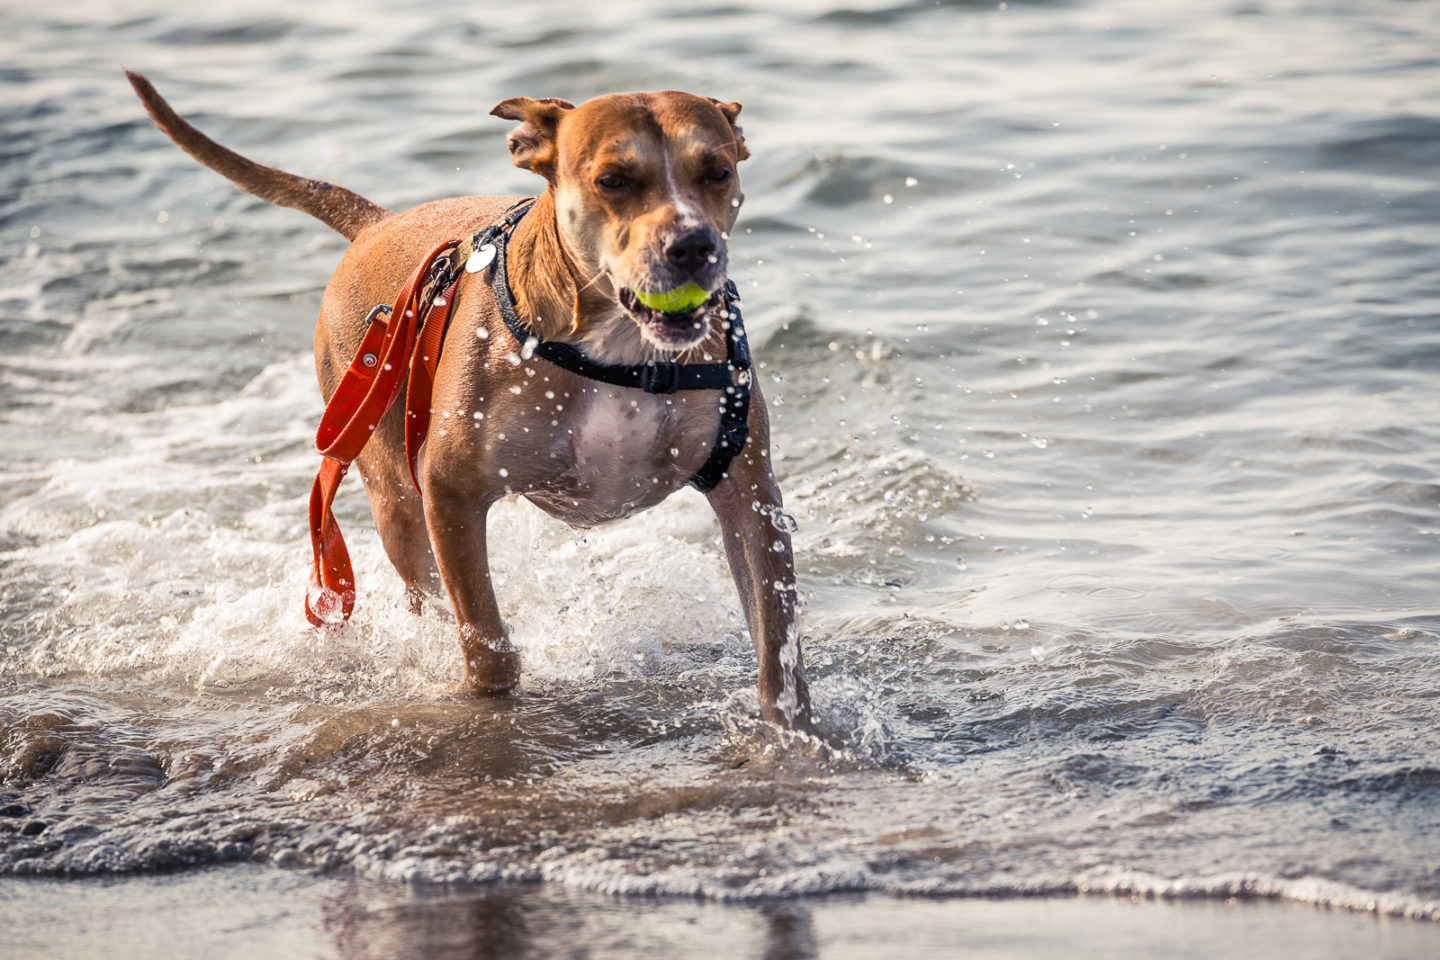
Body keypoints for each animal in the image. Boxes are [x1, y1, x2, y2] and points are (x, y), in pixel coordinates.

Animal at [129, 69, 817, 728]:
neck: (620, 350)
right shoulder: (450, 493)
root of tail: (377, 223)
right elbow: (484, 638)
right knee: (423, 584)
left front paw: (791, 734)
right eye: (614, 180)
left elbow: (776, 648)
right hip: (393, 494)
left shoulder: (751, 494)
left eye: (718, 171)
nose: (694, 245)